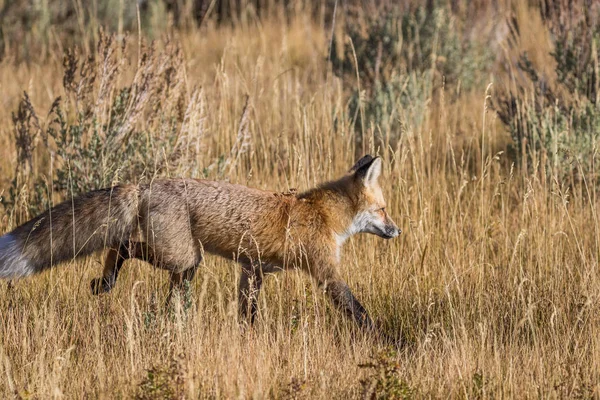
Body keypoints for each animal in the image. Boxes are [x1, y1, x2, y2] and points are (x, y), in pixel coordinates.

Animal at [0, 155, 398, 328]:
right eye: (382, 210)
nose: (397, 231)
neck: (324, 215)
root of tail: (146, 184)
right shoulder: (325, 273)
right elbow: (357, 310)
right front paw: (380, 338)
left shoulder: (253, 269)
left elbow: (248, 313)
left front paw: (249, 337)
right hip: (183, 257)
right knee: (123, 245)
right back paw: (106, 281)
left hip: (185, 265)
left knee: (162, 288)